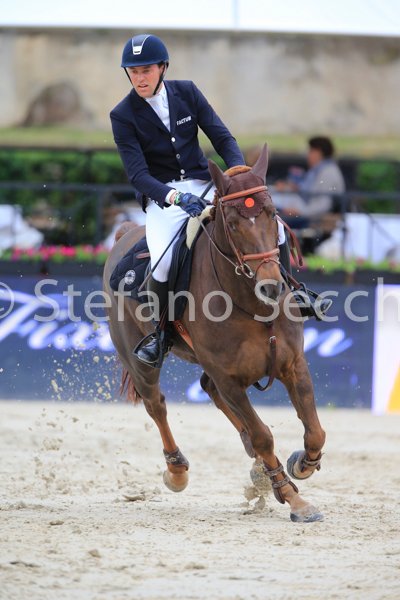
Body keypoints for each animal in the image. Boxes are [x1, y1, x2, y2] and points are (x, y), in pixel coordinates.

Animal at [103, 145, 326, 523]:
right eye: (233, 224)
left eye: (272, 214)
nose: (271, 287)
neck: (252, 304)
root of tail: (125, 233)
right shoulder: (230, 379)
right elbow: (264, 435)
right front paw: (292, 498)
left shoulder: (292, 364)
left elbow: (314, 430)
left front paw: (301, 466)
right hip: (140, 363)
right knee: (156, 405)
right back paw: (177, 470)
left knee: (208, 391)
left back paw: (258, 466)